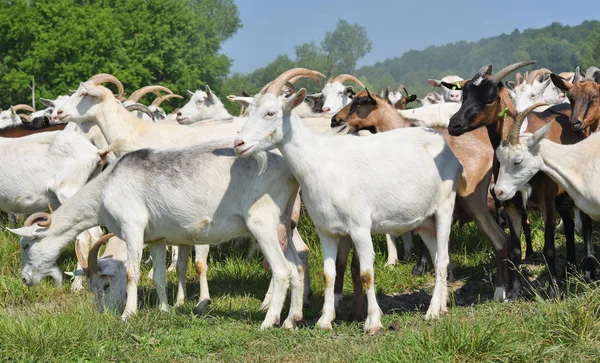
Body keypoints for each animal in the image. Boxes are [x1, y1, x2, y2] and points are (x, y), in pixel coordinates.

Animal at [232, 68, 462, 336]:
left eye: (271, 113)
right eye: (249, 111)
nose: (239, 144)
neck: (320, 162)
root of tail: (448, 150)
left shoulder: (360, 227)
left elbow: (366, 274)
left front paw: (373, 322)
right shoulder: (326, 230)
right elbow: (329, 274)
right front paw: (324, 320)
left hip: (444, 207)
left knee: (443, 257)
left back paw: (432, 312)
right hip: (424, 220)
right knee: (436, 257)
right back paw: (441, 306)